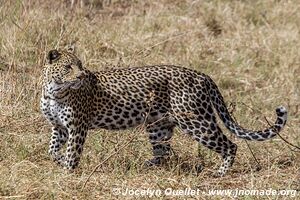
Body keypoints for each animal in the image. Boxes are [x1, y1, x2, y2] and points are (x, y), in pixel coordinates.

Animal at [39, 48, 286, 177]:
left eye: (80, 65)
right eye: (69, 67)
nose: (82, 75)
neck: (54, 91)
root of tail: (203, 75)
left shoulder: (77, 127)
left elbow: (73, 153)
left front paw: (67, 173)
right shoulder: (59, 127)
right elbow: (51, 150)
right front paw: (59, 160)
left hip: (197, 122)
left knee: (230, 145)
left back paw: (219, 173)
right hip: (158, 125)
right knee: (164, 151)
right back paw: (146, 166)